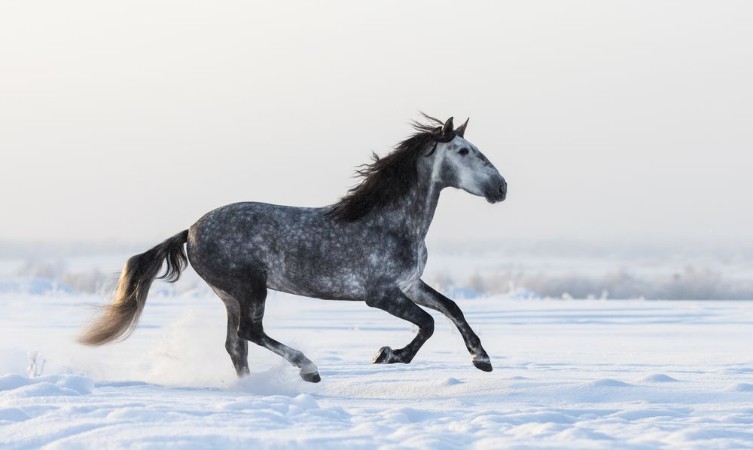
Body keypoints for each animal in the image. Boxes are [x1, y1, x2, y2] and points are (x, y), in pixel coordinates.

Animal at [79, 115, 507, 383]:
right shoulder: (380, 294)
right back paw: (309, 369)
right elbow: (429, 323)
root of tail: (191, 231)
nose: (501, 188)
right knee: (250, 332)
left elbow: (451, 308)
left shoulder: (410, 284)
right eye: (464, 151)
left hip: (230, 295)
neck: (392, 222)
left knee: (236, 343)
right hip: (250, 288)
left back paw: (252, 387)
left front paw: (482, 360)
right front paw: (387, 355)